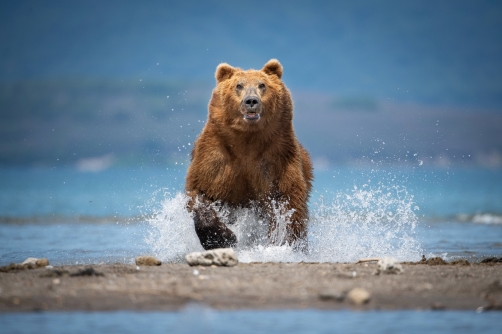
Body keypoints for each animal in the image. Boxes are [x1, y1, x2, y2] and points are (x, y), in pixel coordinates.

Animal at [184, 58, 312, 250]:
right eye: (239, 85)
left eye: (262, 85)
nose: (251, 101)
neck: (247, 140)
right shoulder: (215, 157)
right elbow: (200, 192)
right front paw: (221, 238)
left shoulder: (278, 157)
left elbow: (289, 200)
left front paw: (283, 240)